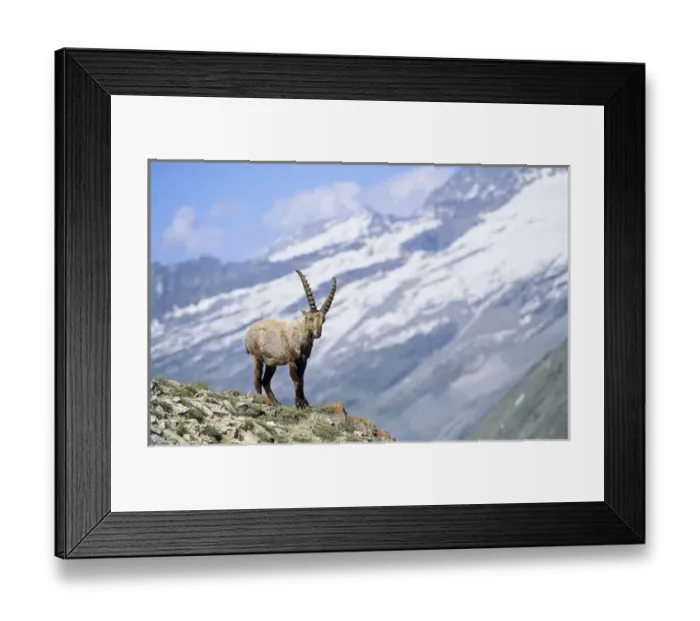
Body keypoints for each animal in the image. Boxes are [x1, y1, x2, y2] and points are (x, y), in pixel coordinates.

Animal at [244, 270, 337, 409]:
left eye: (323, 319)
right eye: (309, 318)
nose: (317, 333)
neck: (300, 336)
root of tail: (247, 333)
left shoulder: (303, 361)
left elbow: (301, 380)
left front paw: (304, 402)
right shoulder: (292, 360)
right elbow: (296, 380)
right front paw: (300, 404)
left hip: (271, 362)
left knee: (265, 381)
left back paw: (276, 402)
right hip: (257, 357)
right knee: (257, 379)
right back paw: (262, 400)